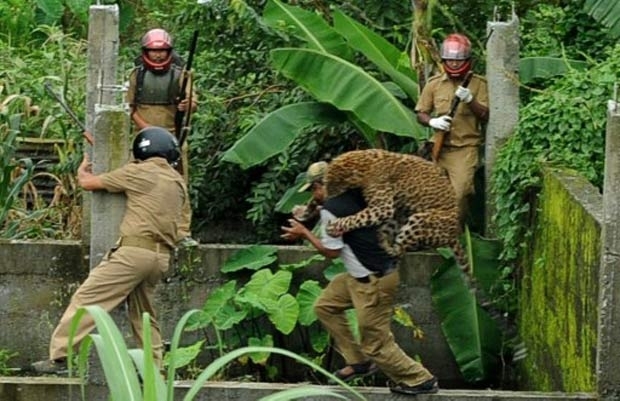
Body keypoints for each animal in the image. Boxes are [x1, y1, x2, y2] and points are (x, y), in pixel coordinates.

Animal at [324, 148, 464, 272]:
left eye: (333, 185)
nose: (326, 197)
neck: (364, 161)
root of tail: (454, 235)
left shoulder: (383, 207)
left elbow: (357, 218)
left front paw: (334, 226)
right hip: (401, 214)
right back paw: (381, 241)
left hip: (421, 219)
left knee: (400, 251)